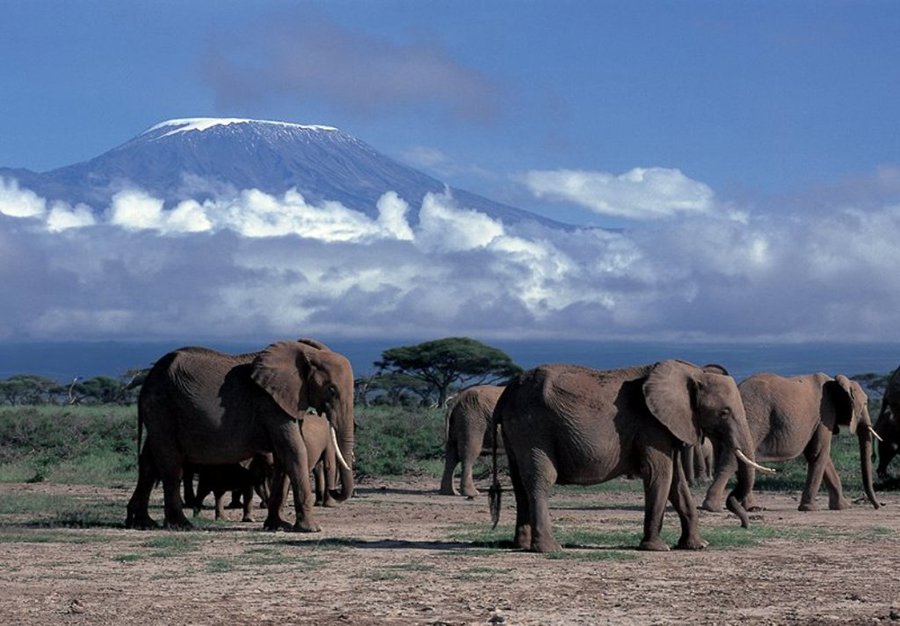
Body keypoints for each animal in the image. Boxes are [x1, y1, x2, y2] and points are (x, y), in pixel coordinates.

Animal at [125, 338, 356, 528]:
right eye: (332, 390)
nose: (335, 491)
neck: (306, 355)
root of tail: (147, 380)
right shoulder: (270, 403)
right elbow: (294, 451)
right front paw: (310, 529)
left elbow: (282, 458)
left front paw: (277, 526)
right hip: (162, 407)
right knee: (171, 464)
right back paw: (181, 525)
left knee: (149, 462)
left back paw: (142, 522)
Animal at [488, 356, 768, 552]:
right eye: (724, 412)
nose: (745, 523)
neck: (692, 372)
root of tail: (505, 394)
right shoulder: (651, 425)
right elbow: (659, 475)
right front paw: (658, 548)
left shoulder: (668, 426)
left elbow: (677, 484)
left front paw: (698, 546)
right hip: (534, 428)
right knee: (541, 479)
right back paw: (550, 549)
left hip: (517, 432)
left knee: (520, 483)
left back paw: (522, 545)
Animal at [704, 370, 880, 512]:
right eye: (865, 403)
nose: (878, 506)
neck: (836, 382)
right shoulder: (825, 414)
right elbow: (818, 453)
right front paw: (810, 509)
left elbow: (820, 456)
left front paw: (842, 507)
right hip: (753, 418)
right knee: (733, 460)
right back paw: (713, 507)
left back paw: (751, 508)